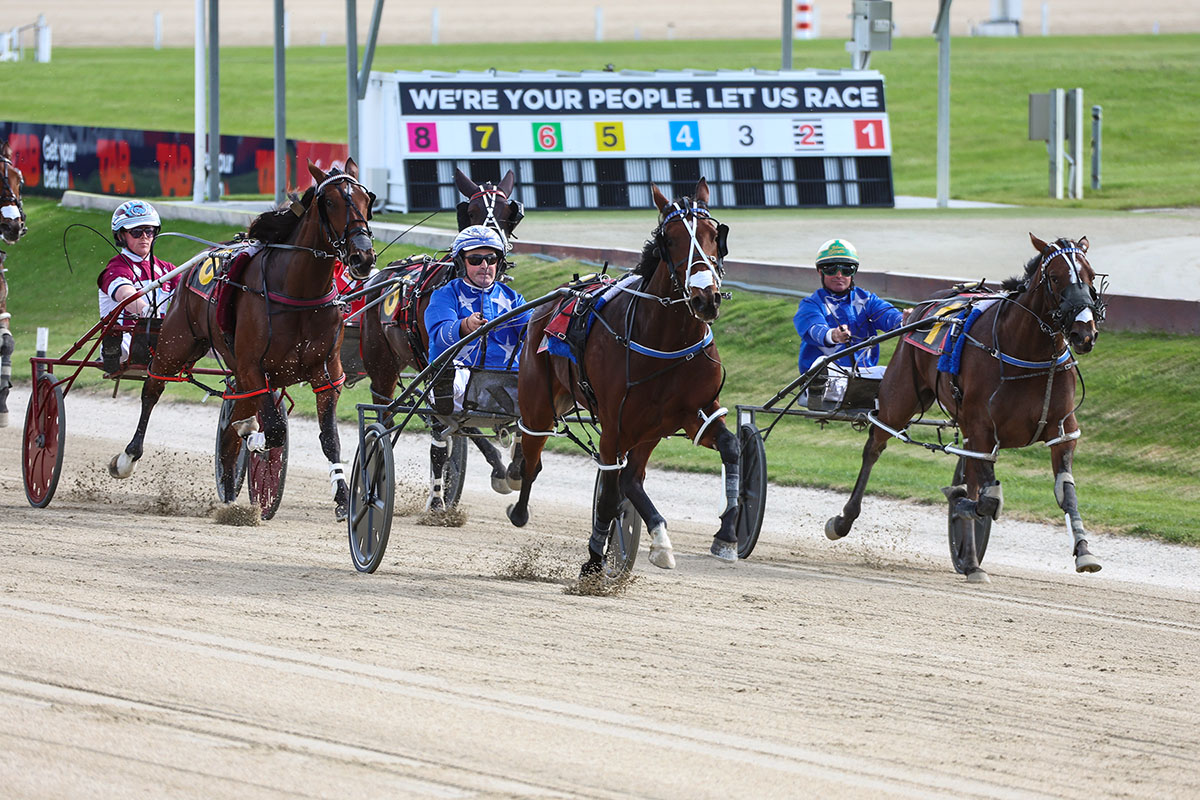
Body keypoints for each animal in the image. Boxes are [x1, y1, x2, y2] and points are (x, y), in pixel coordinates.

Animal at [110, 159, 377, 520]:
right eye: (331, 202)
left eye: (366, 199)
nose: (363, 257)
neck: (298, 291)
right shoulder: (254, 367)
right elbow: (275, 430)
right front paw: (254, 440)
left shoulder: (327, 374)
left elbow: (330, 438)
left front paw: (342, 497)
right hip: (176, 343)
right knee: (152, 389)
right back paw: (128, 457)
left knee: (236, 408)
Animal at [358, 168, 525, 509]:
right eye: (470, 211)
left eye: (508, 212)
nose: (489, 246)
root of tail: (384, 274)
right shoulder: (436, 364)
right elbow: (441, 429)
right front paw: (436, 498)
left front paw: (504, 467)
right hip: (382, 365)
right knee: (387, 413)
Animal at [505, 178, 741, 574]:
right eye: (670, 238)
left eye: (714, 233)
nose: (705, 298)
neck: (665, 338)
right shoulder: (615, 425)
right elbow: (608, 493)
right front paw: (593, 563)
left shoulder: (696, 411)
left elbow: (731, 446)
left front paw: (726, 533)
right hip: (541, 403)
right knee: (533, 456)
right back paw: (518, 501)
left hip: (649, 428)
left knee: (631, 478)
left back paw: (659, 540)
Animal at [826, 234, 1105, 582]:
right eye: (1055, 278)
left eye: (1091, 275)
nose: (1084, 333)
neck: (1026, 352)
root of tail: (923, 307)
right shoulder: (981, 430)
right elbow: (985, 500)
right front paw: (958, 503)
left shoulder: (1062, 431)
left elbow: (1063, 490)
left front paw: (1084, 552)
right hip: (900, 398)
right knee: (874, 447)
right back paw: (843, 520)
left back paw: (971, 561)